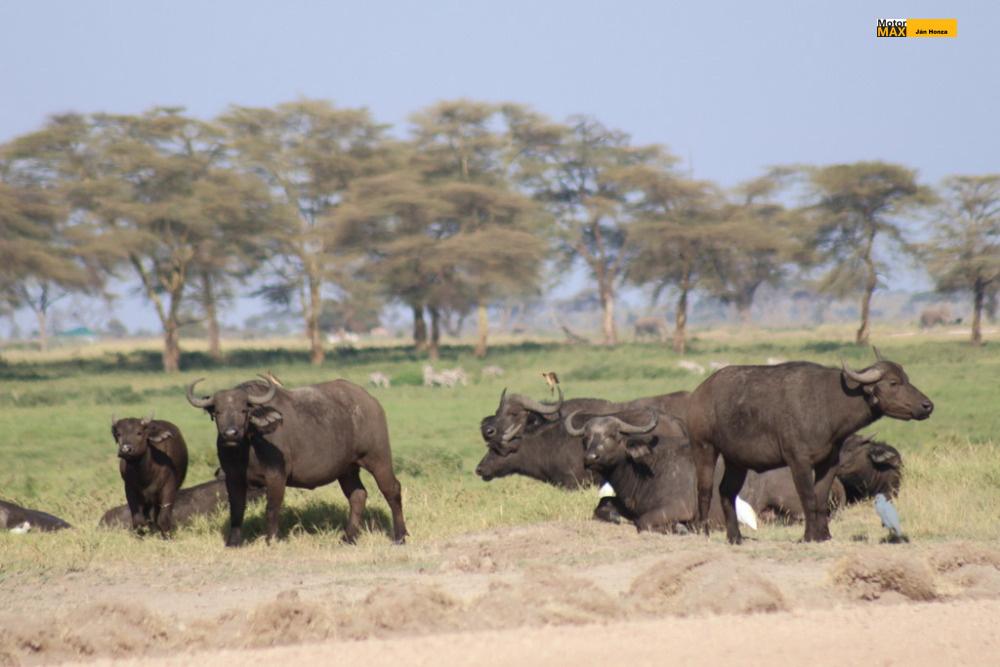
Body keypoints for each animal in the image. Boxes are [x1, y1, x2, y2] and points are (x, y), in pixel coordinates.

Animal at [186, 375, 407, 547]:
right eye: (218, 411)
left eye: (243, 410)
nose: (230, 433)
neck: (247, 448)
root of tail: (370, 402)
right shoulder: (233, 478)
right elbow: (236, 509)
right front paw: (233, 542)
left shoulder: (276, 476)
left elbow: (272, 508)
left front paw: (271, 540)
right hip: (347, 469)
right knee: (358, 495)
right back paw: (348, 538)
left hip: (378, 458)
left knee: (392, 489)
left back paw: (400, 536)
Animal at [687, 350, 932, 544]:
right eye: (893, 383)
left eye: (906, 379)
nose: (927, 405)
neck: (828, 404)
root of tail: (700, 392)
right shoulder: (799, 461)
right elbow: (808, 497)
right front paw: (809, 536)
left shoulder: (829, 463)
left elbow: (821, 498)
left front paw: (824, 535)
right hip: (704, 448)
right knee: (705, 490)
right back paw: (704, 532)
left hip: (736, 461)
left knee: (726, 491)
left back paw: (735, 537)